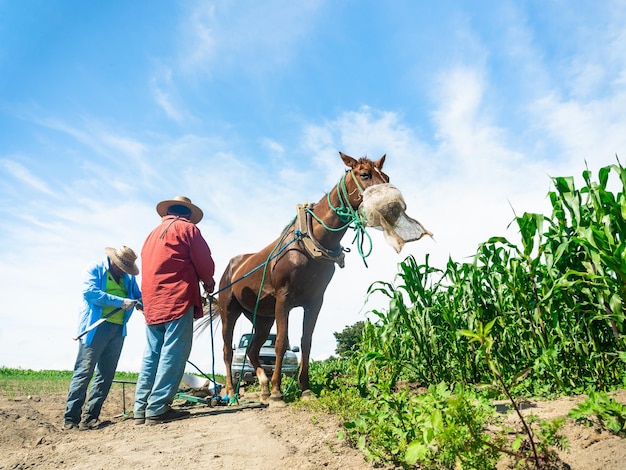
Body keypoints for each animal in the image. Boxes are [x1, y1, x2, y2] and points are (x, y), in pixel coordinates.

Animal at [217, 152, 388, 402]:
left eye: (386, 176)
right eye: (364, 175)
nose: (388, 205)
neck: (309, 244)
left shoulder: (315, 301)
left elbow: (305, 342)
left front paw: (304, 388)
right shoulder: (283, 299)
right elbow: (280, 342)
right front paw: (278, 392)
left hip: (262, 317)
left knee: (252, 349)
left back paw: (263, 387)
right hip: (229, 310)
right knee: (228, 351)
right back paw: (232, 392)